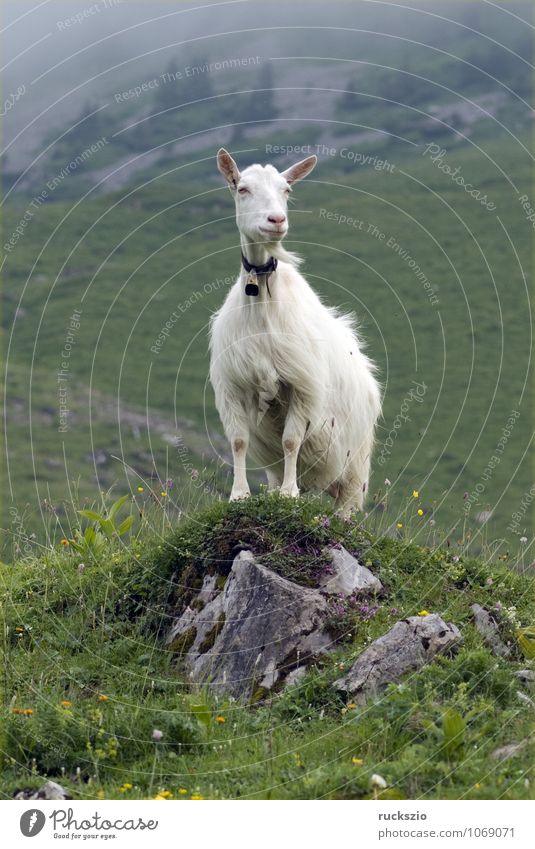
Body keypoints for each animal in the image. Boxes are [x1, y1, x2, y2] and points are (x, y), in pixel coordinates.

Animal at [209, 148, 382, 512]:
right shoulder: (234, 385)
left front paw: (290, 494)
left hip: (353, 467)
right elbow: (239, 441)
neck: (262, 298)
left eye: (286, 190)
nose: (276, 221)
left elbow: (291, 440)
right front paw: (239, 494)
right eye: (242, 188)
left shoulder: (301, 384)